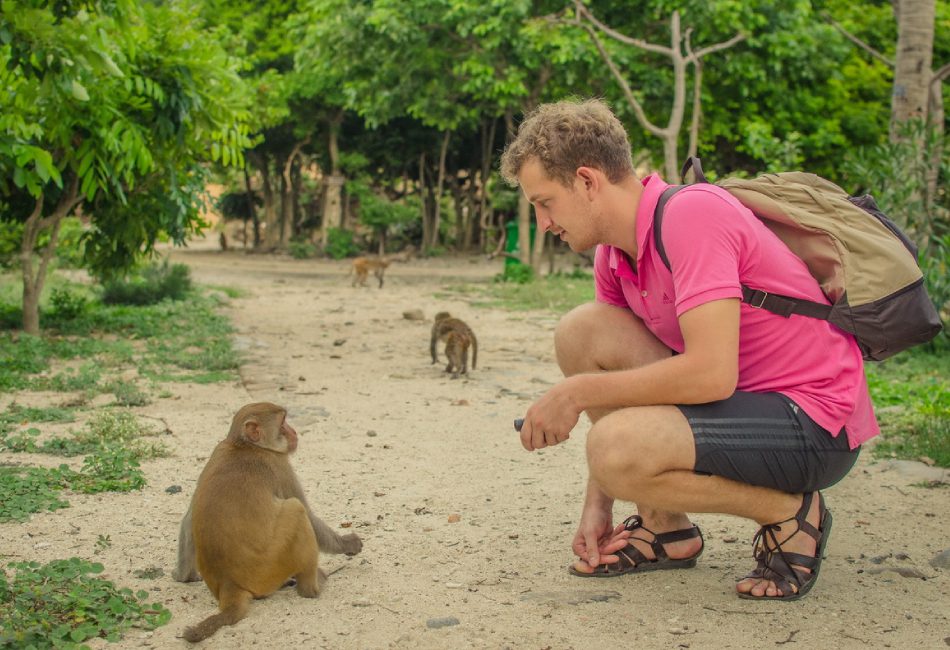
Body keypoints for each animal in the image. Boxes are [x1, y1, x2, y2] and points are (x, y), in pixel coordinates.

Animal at [173, 402, 362, 643]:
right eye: (283, 423)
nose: (294, 432)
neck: (243, 445)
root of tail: (229, 585)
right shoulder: (280, 465)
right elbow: (309, 515)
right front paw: (349, 544)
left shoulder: (216, 452)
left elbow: (188, 518)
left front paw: (183, 577)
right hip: (269, 568)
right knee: (295, 509)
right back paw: (312, 587)